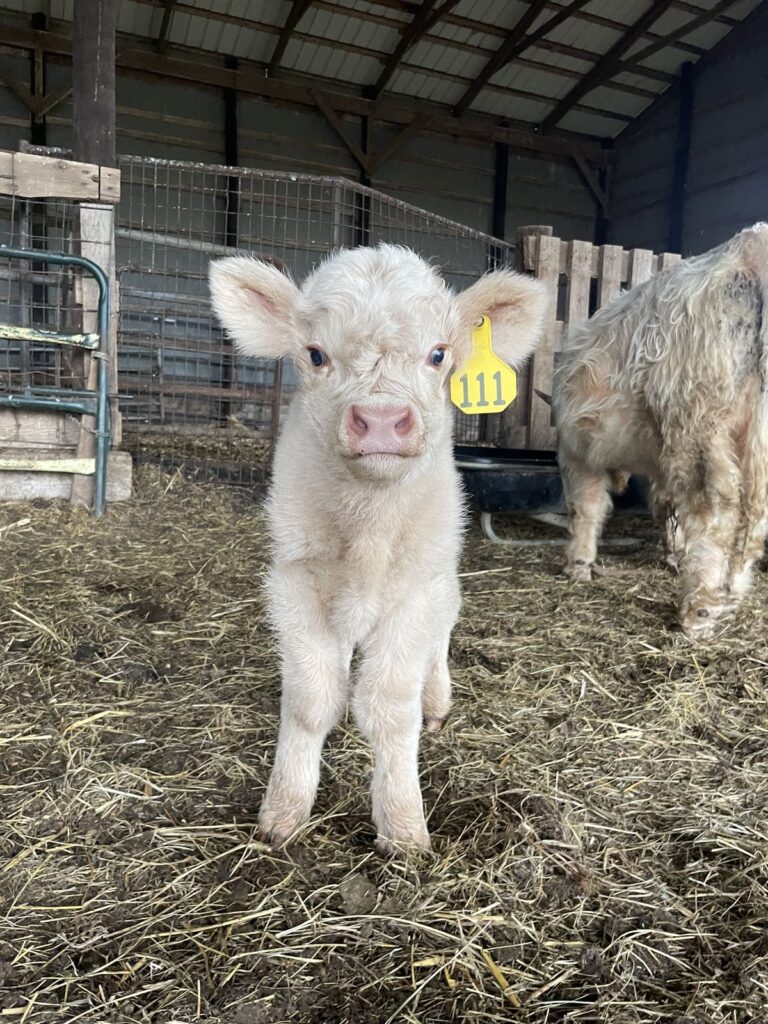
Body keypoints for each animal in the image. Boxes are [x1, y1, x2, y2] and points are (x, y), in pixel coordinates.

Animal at [209, 244, 547, 853]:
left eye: (438, 354)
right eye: (315, 355)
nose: (383, 421)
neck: (367, 530)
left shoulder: (415, 594)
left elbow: (391, 709)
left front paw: (403, 827)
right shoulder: (294, 584)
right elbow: (310, 700)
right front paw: (283, 812)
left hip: (443, 582)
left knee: (439, 642)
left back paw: (436, 701)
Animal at [553, 224, 768, 642]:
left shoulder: (577, 453)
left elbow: (585, 507)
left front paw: (579, 564)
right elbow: (666, 507)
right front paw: (673, 553)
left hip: (696, 421)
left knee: (715, 508)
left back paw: (699, 608)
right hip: (754, 434)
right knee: (754, 513)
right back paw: (731, 590)